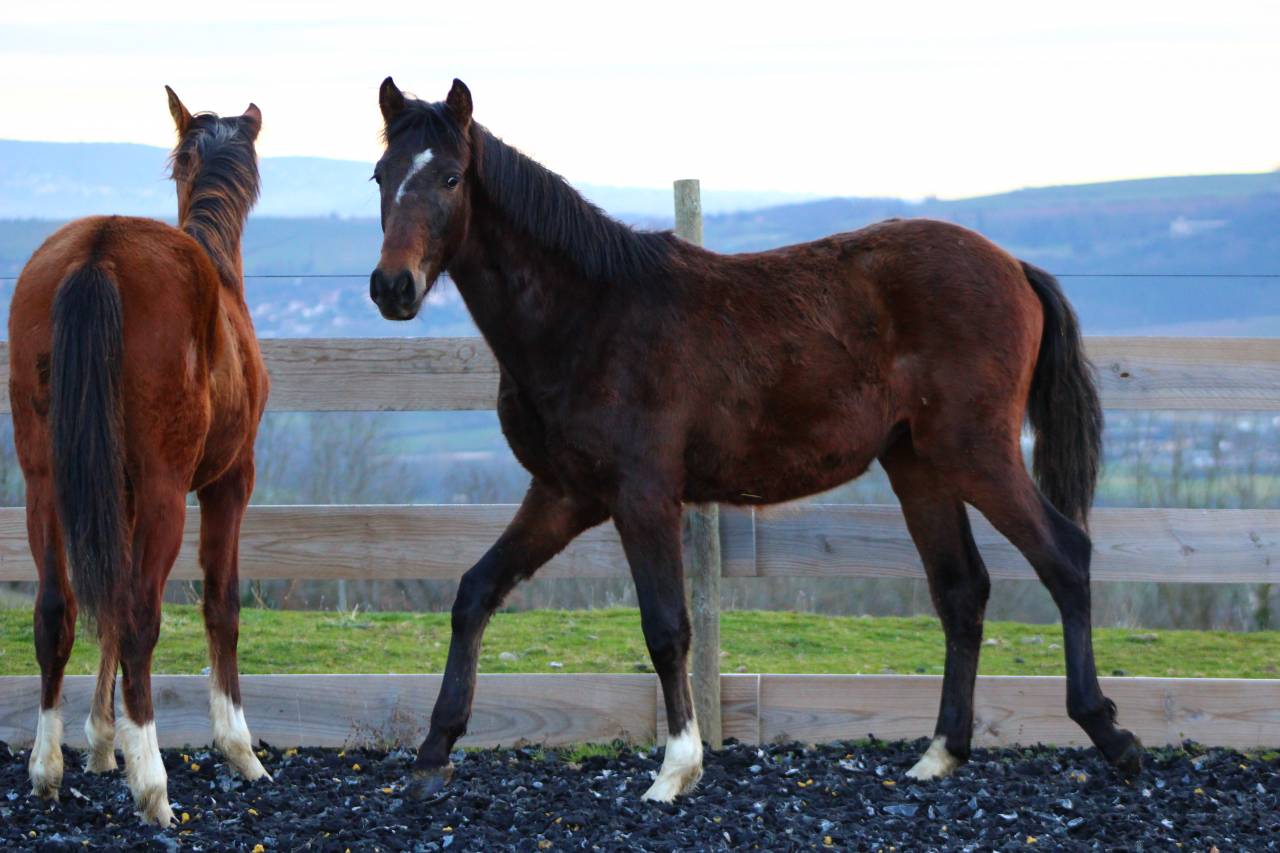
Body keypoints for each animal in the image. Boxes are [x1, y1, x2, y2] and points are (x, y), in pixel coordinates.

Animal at [8, 87, 271, 825]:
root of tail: (101, 249)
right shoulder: (229, 483)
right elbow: (219, 604)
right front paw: (237, 748)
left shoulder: (112, 493)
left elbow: (101, 611)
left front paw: (103, 742)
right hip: (163, 492)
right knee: (139, 614)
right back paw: (154, 783)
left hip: (46, 482)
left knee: (59, 609)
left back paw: (47, 767)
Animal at [368, 77, 1141, 802]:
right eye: (380, 175)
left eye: (451, 177)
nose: (392, 287)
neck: (589, 315)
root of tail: (1015, 269)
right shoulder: (564, 494)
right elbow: (475, 593)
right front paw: (433, 753)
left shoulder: (643, 496)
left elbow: (666, 626)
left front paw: (677, 769)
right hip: (919, 465)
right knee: (961, 589)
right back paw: (939, 753)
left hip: (975, 453)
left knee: (1064, 556)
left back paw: (1111, 733)